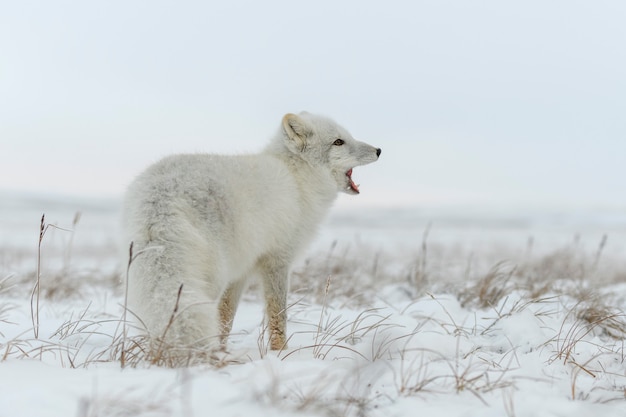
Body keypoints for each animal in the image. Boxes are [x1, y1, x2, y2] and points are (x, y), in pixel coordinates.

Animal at [120, 111, 378, 360]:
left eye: (347, 137)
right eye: (338, 142)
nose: (379, 150)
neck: (297, 180)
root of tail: (160, 194)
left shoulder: (241, 272)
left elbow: (225, 317)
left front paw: (223, 351)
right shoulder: (277, 261)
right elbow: (278, 315)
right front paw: (281, 354)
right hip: (212, 276)